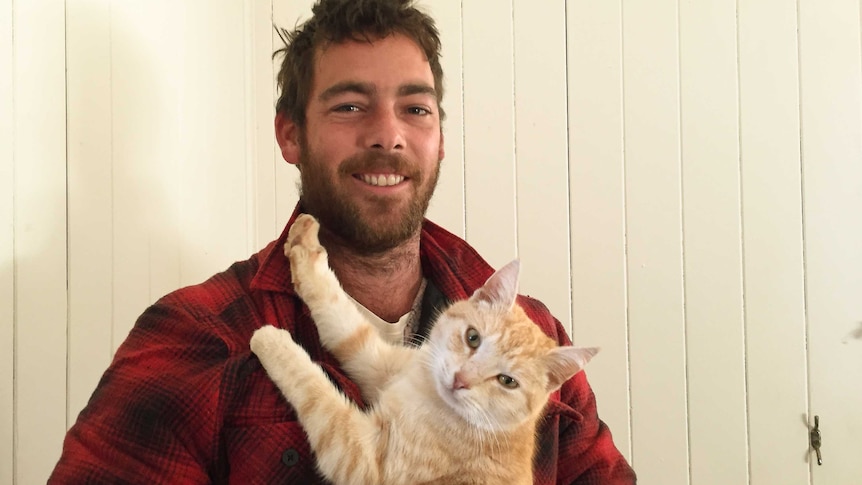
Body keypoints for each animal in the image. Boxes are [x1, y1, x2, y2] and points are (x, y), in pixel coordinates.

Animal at [250, 216, 600, 484]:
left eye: (507, 381)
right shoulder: (375, 359)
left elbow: (318, 397)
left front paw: (271, 341)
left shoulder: (364, 460)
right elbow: (339, 313)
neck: (426, 392)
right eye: (473, 338)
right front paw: (303, 240)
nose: (461, 380)